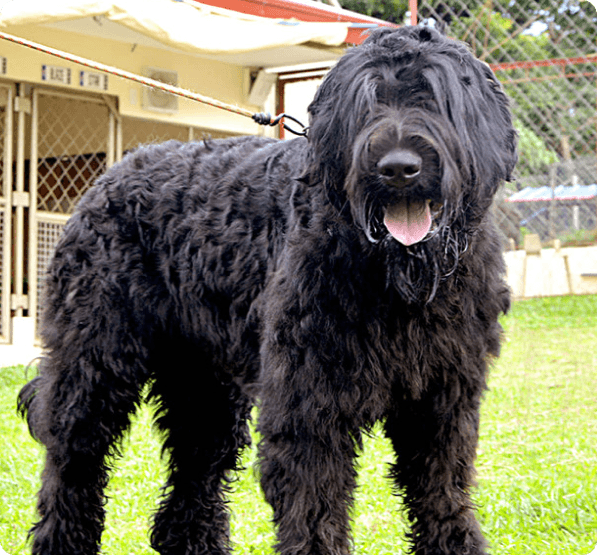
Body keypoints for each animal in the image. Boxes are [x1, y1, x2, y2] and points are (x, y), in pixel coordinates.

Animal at [19, 26, 516, 555]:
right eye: (365, 104)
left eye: (434, 96)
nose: (398, 167)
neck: (396, 281)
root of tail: (107, 177)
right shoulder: (310, 403)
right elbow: (314, 505)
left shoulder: (443, 403)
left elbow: (441, 492)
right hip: (94, 366)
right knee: (73, 463)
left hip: (204, 384)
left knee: (194, 470)